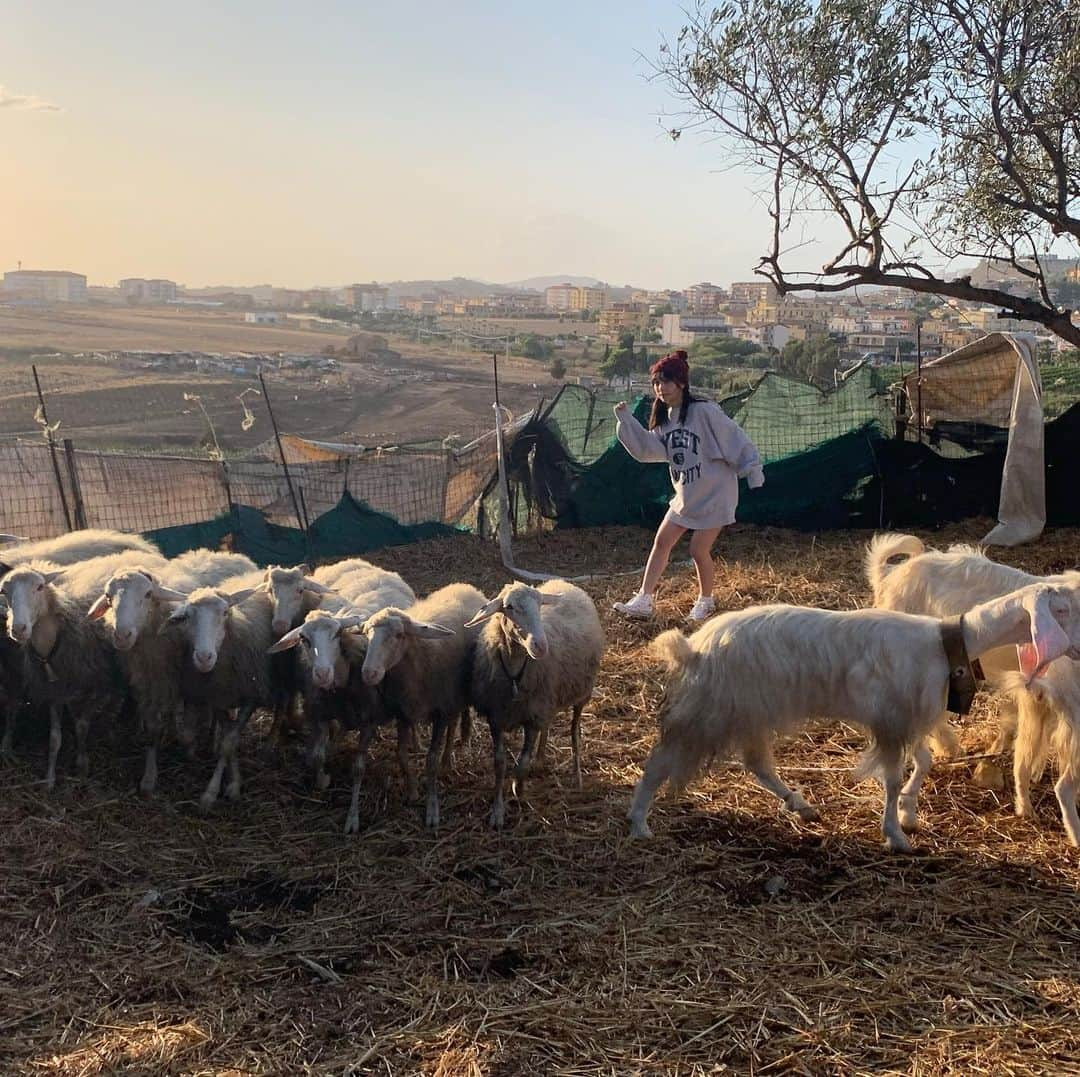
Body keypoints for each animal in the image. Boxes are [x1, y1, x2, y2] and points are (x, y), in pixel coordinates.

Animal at [0, 550, 168, 786]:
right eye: (4, 591)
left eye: (40, 587)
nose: (18, 629)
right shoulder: (55, 691)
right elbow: (54, 738)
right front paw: (49, 778)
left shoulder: (92, 686)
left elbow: (81, 727)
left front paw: (81, 765)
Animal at [84, 550, 257, 795]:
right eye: (108, 597)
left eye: (148, 594)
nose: (122, 635)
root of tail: (230, 554)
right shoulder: (148, 682)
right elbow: (152, 729)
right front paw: (149, 776)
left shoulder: (182, 682)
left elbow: (182, 729)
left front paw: (185, 752)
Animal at [354, 583, 486, 829]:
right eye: (367, 634)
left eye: (399, 635)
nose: (368, 673)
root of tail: (464, 585)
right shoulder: (403, 713)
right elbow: (401, 755)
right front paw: (412, 791)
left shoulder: (441, 710)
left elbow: (431, 761)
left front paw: (432, 809)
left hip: (454, 696)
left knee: (453, 726)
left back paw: (447, 761)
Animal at [466, 579, 609, 825]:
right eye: (509, 607)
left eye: (540, 604)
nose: (541, 646)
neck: (515, 673)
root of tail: (563, 582)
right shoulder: (497, 717)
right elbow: (499, 763)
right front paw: (497, 810)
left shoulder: (532, 717)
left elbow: (522, 762)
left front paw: (519, 789)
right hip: (548, 699)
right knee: (548, 725)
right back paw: (541, 759)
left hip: (581, 693)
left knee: (574, 732)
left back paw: (577, 775)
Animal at [630, 583, 1080, 851]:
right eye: (1062, 608)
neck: (945, 642)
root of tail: (692, 647)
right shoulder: (891, 720)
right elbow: (893, 777)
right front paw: (895, 834)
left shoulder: (907, 719)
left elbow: (924, 762)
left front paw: (909, 813)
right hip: (709, 710)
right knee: (660, 761)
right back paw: (639, 822)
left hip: (749, 710)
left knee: (757, 764)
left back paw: (801, 805)